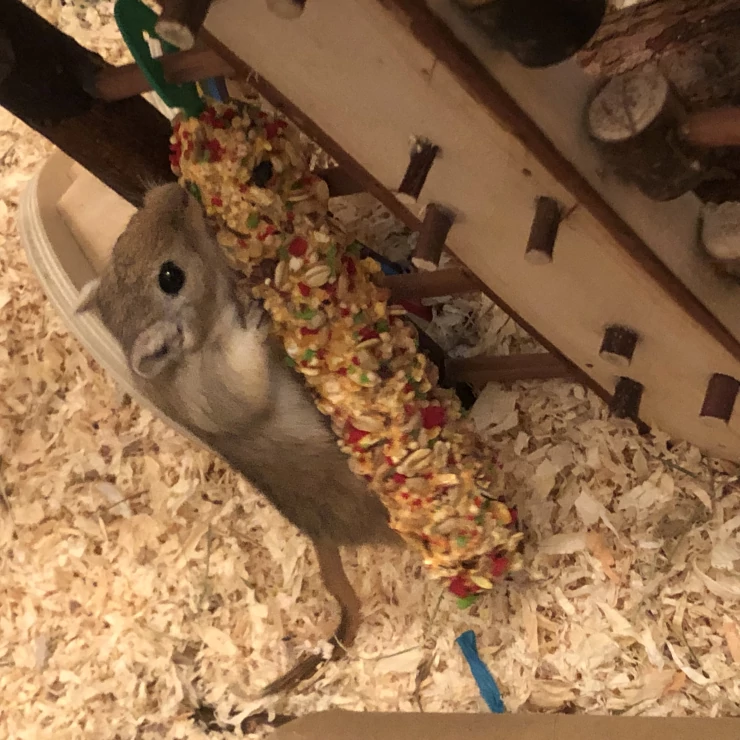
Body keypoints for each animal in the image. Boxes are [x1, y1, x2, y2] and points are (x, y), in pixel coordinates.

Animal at [77, 182, 401, 695]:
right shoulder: (225, 384)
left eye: (123, 234)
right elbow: (247, 365)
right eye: (170, 276)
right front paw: (255, 313)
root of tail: (321, 539)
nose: (176, 189)